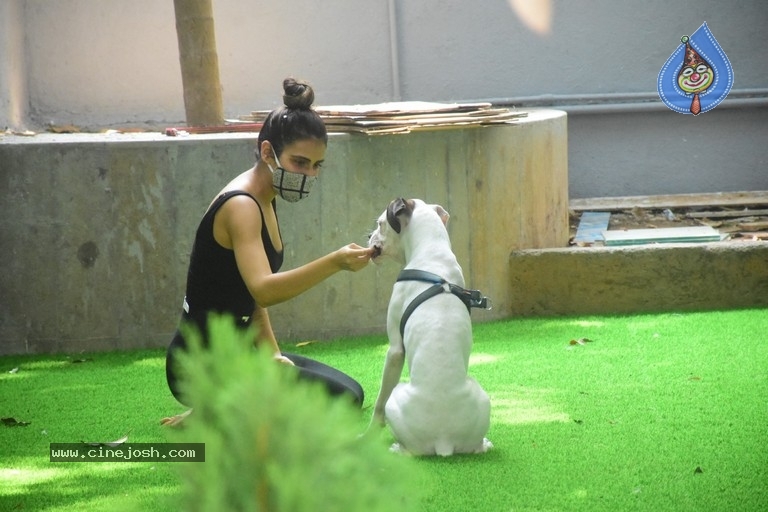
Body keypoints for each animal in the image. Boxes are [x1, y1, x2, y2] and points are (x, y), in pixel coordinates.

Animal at [366, 197, 492, 456]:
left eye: (380, 224)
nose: (368, 236)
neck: (431, 251)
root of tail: (444, 441)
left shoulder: (395, 350)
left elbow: (378, 404)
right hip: (483, 398)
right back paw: (483, 444)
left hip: (397, 395)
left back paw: (397, 449)